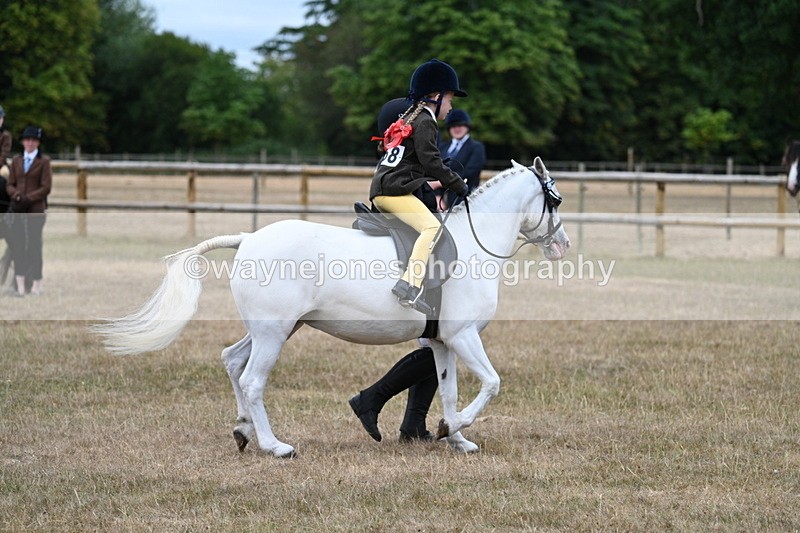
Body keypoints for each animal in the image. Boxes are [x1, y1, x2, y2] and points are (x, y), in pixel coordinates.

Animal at [95, 157, 571, 458]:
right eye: (555, 200)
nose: (562, 246)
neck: (474, 243)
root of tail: (248, 238)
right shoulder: (463, 335)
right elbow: (491, 383)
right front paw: (452, 430)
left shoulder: (442, 342)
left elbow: (449, 392)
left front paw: (455, 437)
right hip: (274, 332)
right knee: (252, 380)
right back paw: (275, 446)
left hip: (276, 329)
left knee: (231, 360)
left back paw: (243, 430)